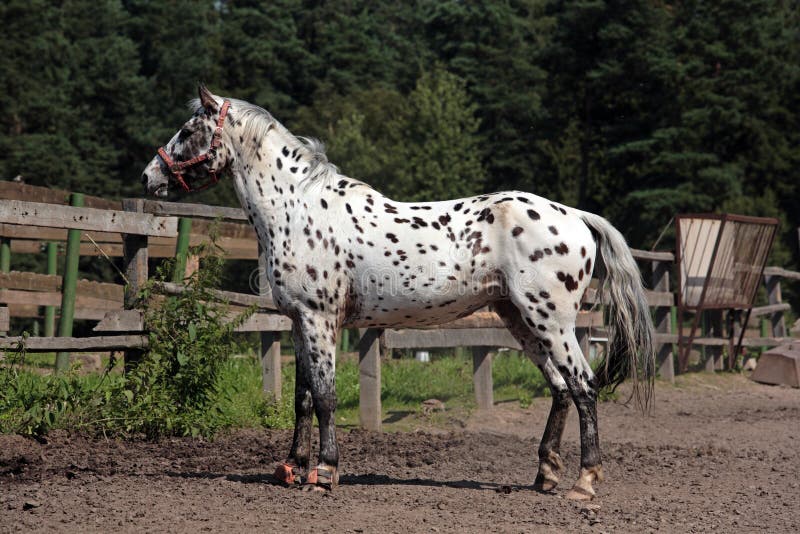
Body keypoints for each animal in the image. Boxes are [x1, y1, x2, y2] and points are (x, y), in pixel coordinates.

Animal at [145, 86, 656, 500]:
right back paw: (544, 477)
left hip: (552, 321)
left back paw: (584, 483)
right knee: (560, 388)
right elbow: (303, 397)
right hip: (519, 320)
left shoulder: (319, 320)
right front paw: (291, 468)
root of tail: (575, 216)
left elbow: (327, 396)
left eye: (188, 130)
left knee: (584, 386)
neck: (300, 208)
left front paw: (325, 473)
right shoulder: (297, 323)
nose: (150, 177)